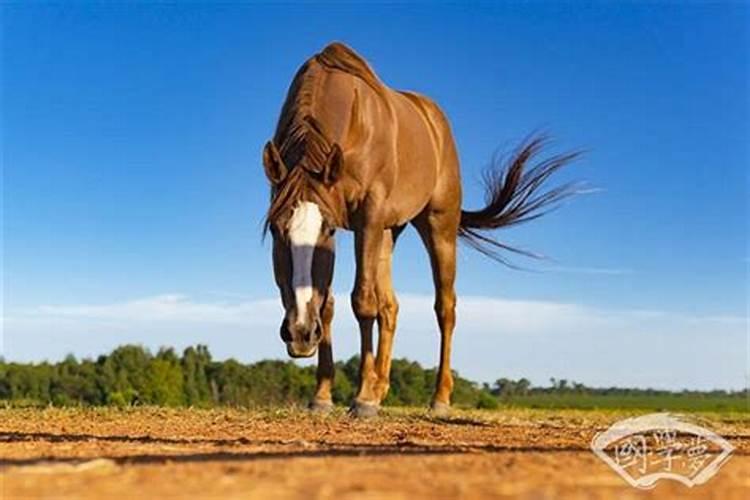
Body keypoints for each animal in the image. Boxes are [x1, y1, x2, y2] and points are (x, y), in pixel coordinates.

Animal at [262, 44, 580, 418]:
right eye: (277, 230)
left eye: (326, 229)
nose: (300, 333)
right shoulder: (355, 223)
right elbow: (329, 304)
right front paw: (324, 396)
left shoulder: (366, 217)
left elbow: (362, 302)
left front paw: (362, 398)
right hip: (388, 231)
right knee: (390, 306)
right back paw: (380, 388)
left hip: (437, 226)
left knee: (445, 308)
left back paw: (437, 398)